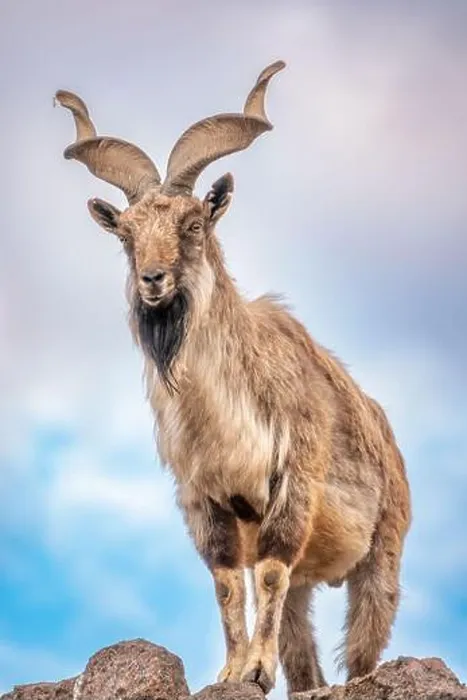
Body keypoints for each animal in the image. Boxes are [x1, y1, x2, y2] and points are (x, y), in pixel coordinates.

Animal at [55, 61, 411, 696]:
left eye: (194, 222)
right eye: (125, 234)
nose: (153, 280)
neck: (227, 417)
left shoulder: (293, 483)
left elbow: (265, 572)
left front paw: (256, 669)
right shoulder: (204, 500)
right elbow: (227, 582)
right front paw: (232, 669)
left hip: (381, 555)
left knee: (363, 648)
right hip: (310, 581)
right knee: (305, 654)